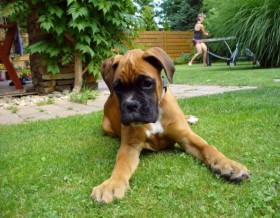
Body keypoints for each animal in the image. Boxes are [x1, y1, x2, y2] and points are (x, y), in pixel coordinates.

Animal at [90, 46, 249, 204]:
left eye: (147, 83)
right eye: (117, 87)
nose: (131, 105)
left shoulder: (186, 137)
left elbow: (208, 148)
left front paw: (229, 165)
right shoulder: (130, 146)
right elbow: (121, 165)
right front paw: (111, 184)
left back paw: (190, 118)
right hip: (106, 127)